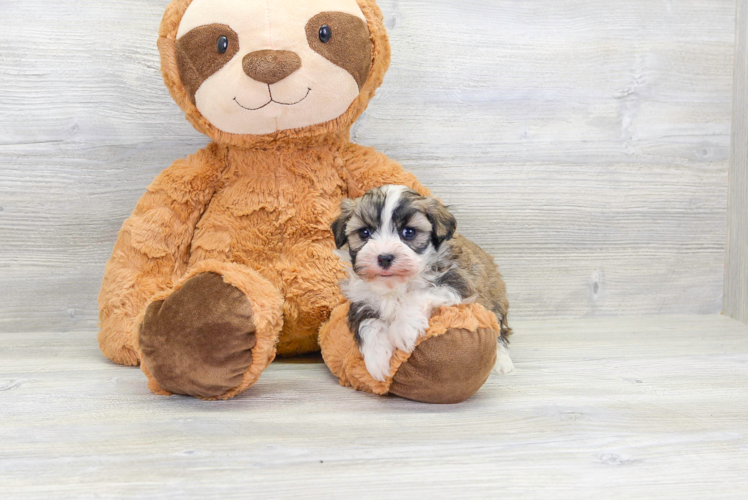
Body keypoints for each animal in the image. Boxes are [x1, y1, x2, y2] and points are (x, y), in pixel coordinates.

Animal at [334, 186, 516, 380]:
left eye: (409, 232)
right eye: (364, 233)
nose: (384, 258)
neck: (395, 285)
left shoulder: (458, 282)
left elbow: (417, 295)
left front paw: (403, 330)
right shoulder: (362, 301)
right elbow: (368, 324)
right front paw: (377, 359)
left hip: (494, 301)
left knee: (498, 329)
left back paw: (502, 361)